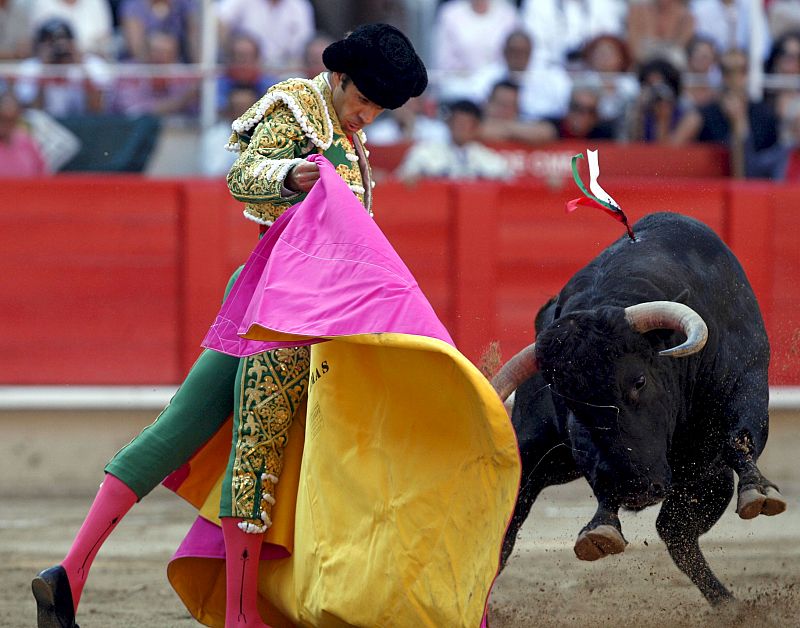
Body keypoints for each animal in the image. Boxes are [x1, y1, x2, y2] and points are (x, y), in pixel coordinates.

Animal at [494, 213, 788, 604]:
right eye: (571, 405)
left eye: (639, 381)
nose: (637, 489)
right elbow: (600, 473)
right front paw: (601, 528)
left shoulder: (746, 385)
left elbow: (739, 437)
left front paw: (759, 492)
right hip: (534, 451)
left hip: (704, 477)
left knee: (676, 533)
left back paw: (728, 604)